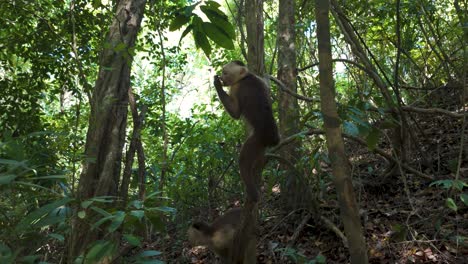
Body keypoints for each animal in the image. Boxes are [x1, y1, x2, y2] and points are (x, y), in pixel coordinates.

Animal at [214, 60, 280, 202]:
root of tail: (273, 138)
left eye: (225, 72)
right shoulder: (258, 79)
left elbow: (235, 113)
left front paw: (216, 84)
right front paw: (267, 75)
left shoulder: (236, 87)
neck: (245, 77)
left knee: (243, 161)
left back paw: (253, 193)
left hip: (256, 139)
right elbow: (266, 85)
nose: (221, 78)